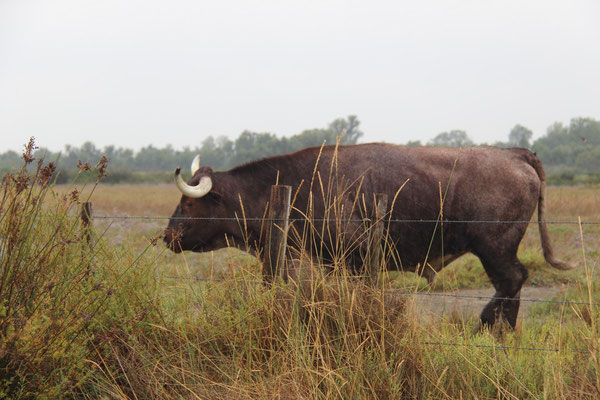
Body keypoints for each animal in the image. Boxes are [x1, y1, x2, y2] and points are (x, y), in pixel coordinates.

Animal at [163, 144, 572, 328]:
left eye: (188, 201)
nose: (167, 235)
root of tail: (515, 154)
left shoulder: (355, 260)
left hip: (494, 250)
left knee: (512, 281)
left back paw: (492, 327)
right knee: (512, 285)